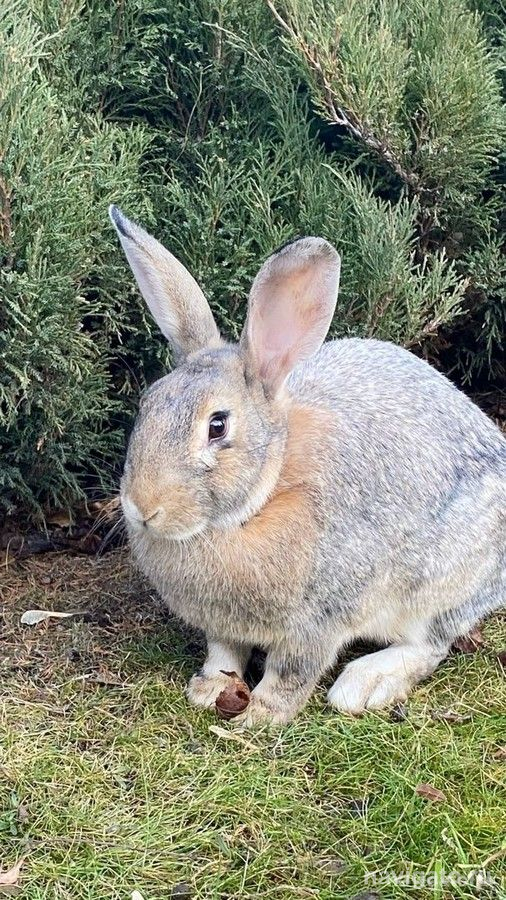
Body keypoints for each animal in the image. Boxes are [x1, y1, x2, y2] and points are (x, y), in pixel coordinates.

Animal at [109, 204, 506, 725]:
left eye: (217, 426)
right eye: (147, 403)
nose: (142, 508)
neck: (262, 499)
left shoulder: (318, 621)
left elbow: (291, 672)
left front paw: (259, 715)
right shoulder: (223, 628)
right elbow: (224, 654)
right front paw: (209, 689)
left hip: (439, 583)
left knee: (431, 643)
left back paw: (363, 684)